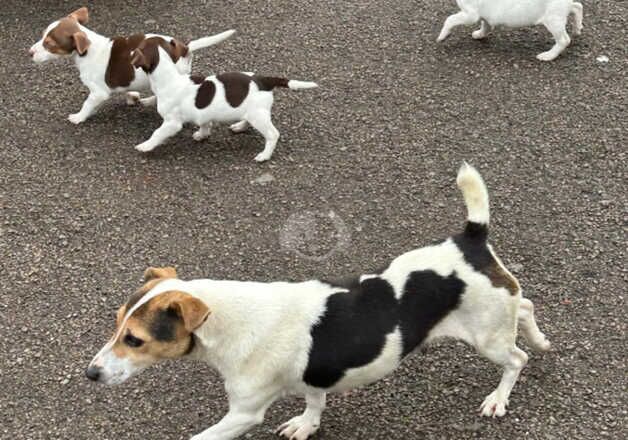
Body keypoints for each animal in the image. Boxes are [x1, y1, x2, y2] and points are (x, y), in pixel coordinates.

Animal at [28, 6, 234, 124]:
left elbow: (87, 104)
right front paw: (131, 96)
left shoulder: (98, 92)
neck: (86, 50)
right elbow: (124, 88)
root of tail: (183, 48)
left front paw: (78, 118)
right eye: (42, 36)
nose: (29, 52)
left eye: (49, 44)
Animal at [87, 164, 548, 440]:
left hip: (486, 337)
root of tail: (468, 240)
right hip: (493, 316)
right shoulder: (316, 375)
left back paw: (500, 396)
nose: (90, 374)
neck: (229, 323)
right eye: (116, 323)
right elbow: (314, 400)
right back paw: (540, 338)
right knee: (523, 305)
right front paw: (307, 424)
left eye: (135, 340)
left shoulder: (243, 413)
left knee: (516, 358)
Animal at [128, 37, 316, 162]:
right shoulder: (203, 114)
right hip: (253, 113)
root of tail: (263, 80)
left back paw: (264, 155)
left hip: (258, 116)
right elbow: (205, 124)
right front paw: (202, 135)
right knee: (248, 120)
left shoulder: (172, 123)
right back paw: (239, 126)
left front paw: (145, 145)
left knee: (273, 134)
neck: (169, 77)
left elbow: (157, 133)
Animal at [436, 0, 584, 61]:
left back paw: (548, 56)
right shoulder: (486, 16)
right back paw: (577, 27)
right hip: (560, 11)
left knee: (564, 40)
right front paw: (480, 34)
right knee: (577, 6)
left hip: (553, 19)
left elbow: (450, 19)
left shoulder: (470, 15)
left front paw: (443, 35)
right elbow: (486, 25)